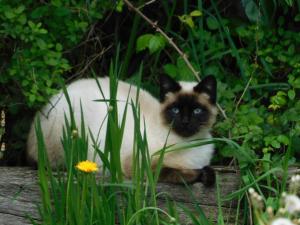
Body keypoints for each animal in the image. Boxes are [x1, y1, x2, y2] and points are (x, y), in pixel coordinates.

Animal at [27, 74, 217, 185]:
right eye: (175, 110)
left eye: (197, 111)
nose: (185, 122)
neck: (190, 144)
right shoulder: (138, 164)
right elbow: (175, 172)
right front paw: (198, 175)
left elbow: (209, 170)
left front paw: (207, 175)